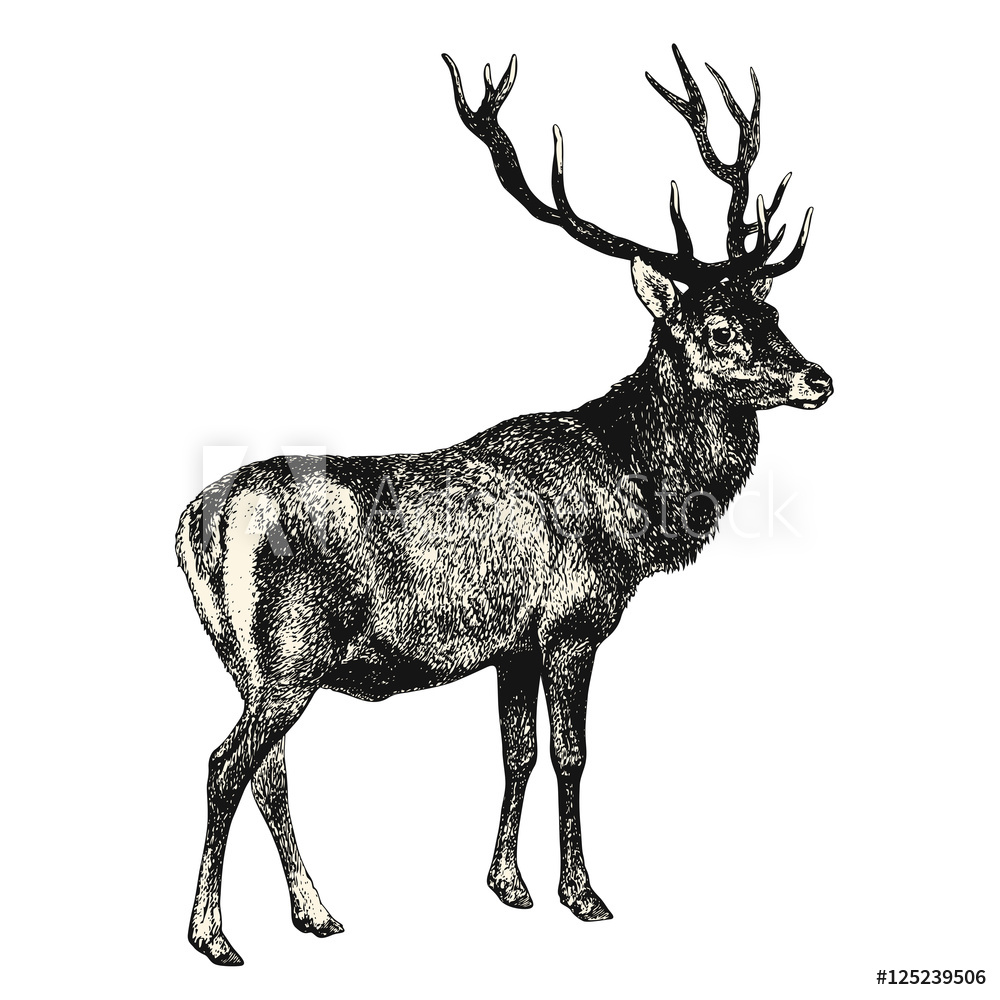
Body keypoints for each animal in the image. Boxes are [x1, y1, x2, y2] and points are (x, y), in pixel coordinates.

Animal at [176, 45, 832, 965]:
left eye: (769, 308)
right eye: (716, 328)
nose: (821, 379)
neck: (639, 501)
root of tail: (194, 522)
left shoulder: (512, 645)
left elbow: (514, 754)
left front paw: (508, 885)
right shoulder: (571, 623)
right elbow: (570, 754)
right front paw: (582, 894)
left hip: (247, 660)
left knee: (268, 773)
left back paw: (316, 913)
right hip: (290, 653)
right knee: (224, 765)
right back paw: (211, 935)